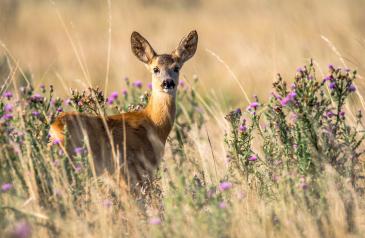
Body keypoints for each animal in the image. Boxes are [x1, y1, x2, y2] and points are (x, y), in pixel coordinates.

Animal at [49, 30, 198, 190]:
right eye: (155, 69)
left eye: (176, 68)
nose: (168, 83)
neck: (153, 124)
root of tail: (54, 128)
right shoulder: (132, 170)